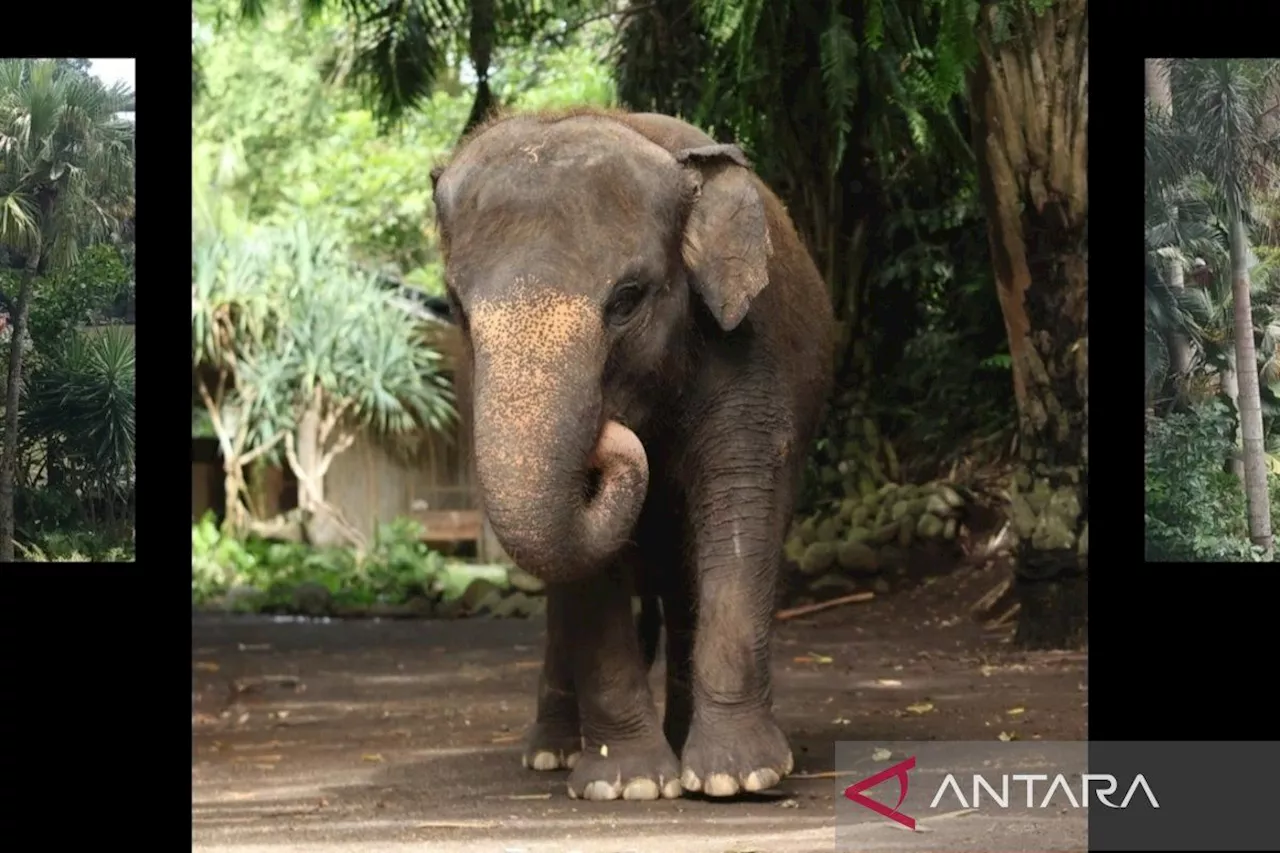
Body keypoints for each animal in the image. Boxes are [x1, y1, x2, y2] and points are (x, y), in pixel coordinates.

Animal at [432, 108, 839, 799]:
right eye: (457, 308)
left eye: (626, 299)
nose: (612, 436)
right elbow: (585, 572)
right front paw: (630, 785)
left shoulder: (750, 353)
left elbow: (738, 501)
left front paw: (737, 778)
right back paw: (554, 754)